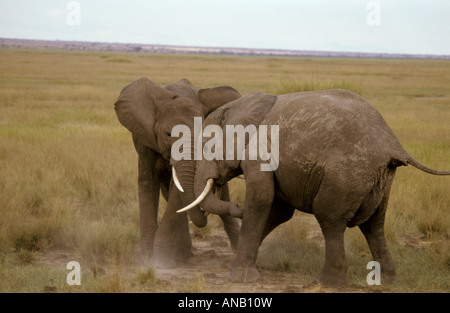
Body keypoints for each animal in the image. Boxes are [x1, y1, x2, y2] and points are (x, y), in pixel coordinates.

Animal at [114, 77, 244, 266]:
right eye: (168, 134)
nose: (239, 206)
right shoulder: (143, 139)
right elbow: (147, 183)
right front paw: (147, 258)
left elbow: (179, 189)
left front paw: (161, 260)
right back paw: (185, 253)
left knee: (221, 195)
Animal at [179, 88, 450, 286]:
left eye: (206, 147)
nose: (235, 205)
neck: (240, 106)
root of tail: (393, 145)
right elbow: (278, 211)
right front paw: (233, 267)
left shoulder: (260, 154)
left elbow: (261, 201)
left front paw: (238, 277)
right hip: (380, 179)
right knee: (374, 225)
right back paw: (387, 281)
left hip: (345, 177)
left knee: (330, 219)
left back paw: (325, 282)